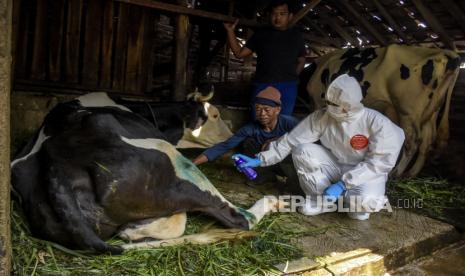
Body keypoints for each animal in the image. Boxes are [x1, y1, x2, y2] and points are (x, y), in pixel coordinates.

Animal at [11, 93, 280, 254]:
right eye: (214, 115)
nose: (234, 135)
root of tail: (53, 163)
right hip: (172, 160)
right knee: (239, 219)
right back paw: (274, 201)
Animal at [300, 44, 460, 176]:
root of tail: (442, 52)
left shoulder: (319, 101)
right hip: (431, 111)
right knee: (427, 141)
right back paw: (411, 173)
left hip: (408, 112)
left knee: (413, 141)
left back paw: (396, 172)